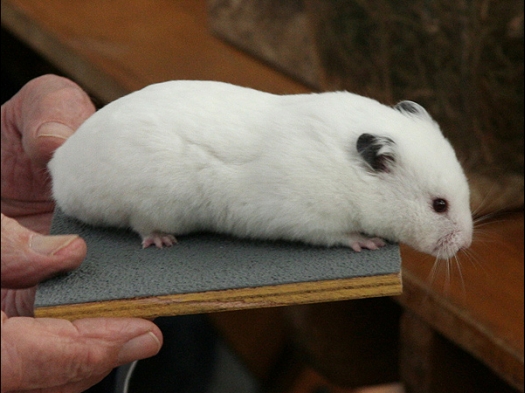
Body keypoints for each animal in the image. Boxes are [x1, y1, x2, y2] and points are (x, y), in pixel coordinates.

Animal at [49, 79, 472, 258]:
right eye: (439, 205)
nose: (465, 244)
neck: (351, 178)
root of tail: (59, 168)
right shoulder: (312, 219)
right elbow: (341, 235)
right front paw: (369, 242)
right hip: (148, 205)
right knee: (142, 226)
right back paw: (162, 241)